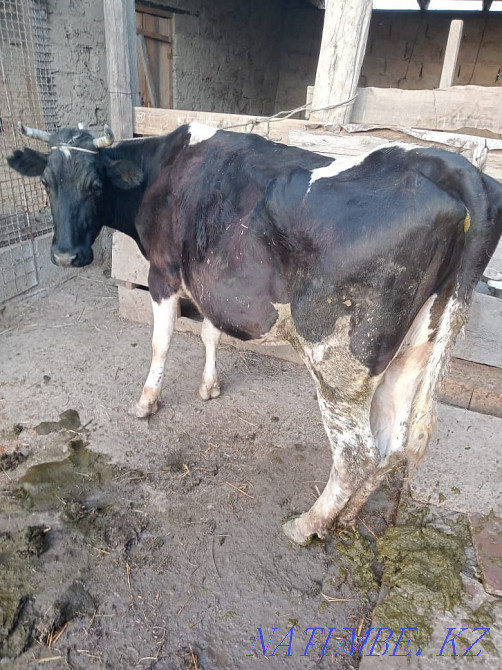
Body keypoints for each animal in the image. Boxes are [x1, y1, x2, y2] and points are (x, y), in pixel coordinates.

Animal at [7, 121, 502, 545]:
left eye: (94, 185)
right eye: (46, 183)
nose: (66, 256)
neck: (163, 169)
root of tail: (464, 173)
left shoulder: (163, 272)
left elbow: (161, 342)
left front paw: (147, 402)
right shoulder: (213, 281)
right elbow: (210, 334)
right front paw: (209, 387)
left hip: (339, 359)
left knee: (356, 452)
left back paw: (309, 525)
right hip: (415, 347)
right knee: (394, 444)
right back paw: (348, 517)